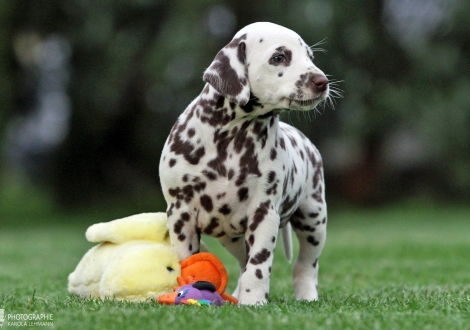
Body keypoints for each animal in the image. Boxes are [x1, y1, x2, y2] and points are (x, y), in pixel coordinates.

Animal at [162, 21, 330, 306]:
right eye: (279, 57)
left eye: (310, 56)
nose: (322, 82)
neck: (233, 138)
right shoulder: (180, 214)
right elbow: (187, 259)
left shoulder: (264, 213)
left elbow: (259, 264)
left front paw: (254, 301)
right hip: (231, 236)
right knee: (242, 262)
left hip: (313, 217)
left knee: (305, 265)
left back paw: (306, 296)